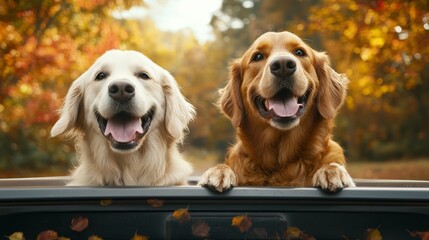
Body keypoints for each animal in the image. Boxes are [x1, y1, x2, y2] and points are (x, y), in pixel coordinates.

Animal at [199, 31, 356, 192]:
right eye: (258, 56)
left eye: (300, 52)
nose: (283, 65)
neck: (281, 163)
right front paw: (218, 171)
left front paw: (331, 170)